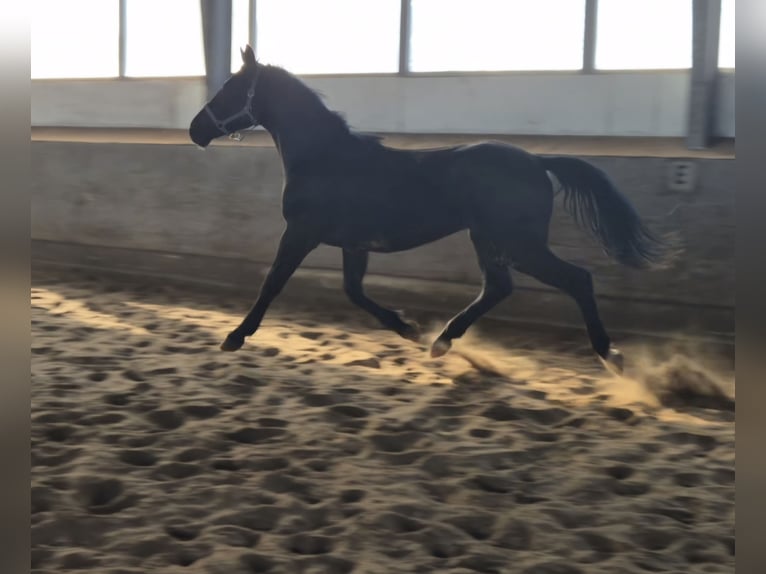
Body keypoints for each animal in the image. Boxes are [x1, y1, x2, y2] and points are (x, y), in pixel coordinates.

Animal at [189, 45, 668, 373]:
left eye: (231, 89)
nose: (195, 131)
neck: (326, 157)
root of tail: (536, 161)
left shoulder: (302, 233)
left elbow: (272, 283)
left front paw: (234, 337)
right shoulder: (352, 244)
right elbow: (353, 291)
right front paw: (408, 328)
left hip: (520, 243)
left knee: (577, 280)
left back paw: (611, 355)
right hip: (487, 238)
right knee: (498, 287)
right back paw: (441, 342)